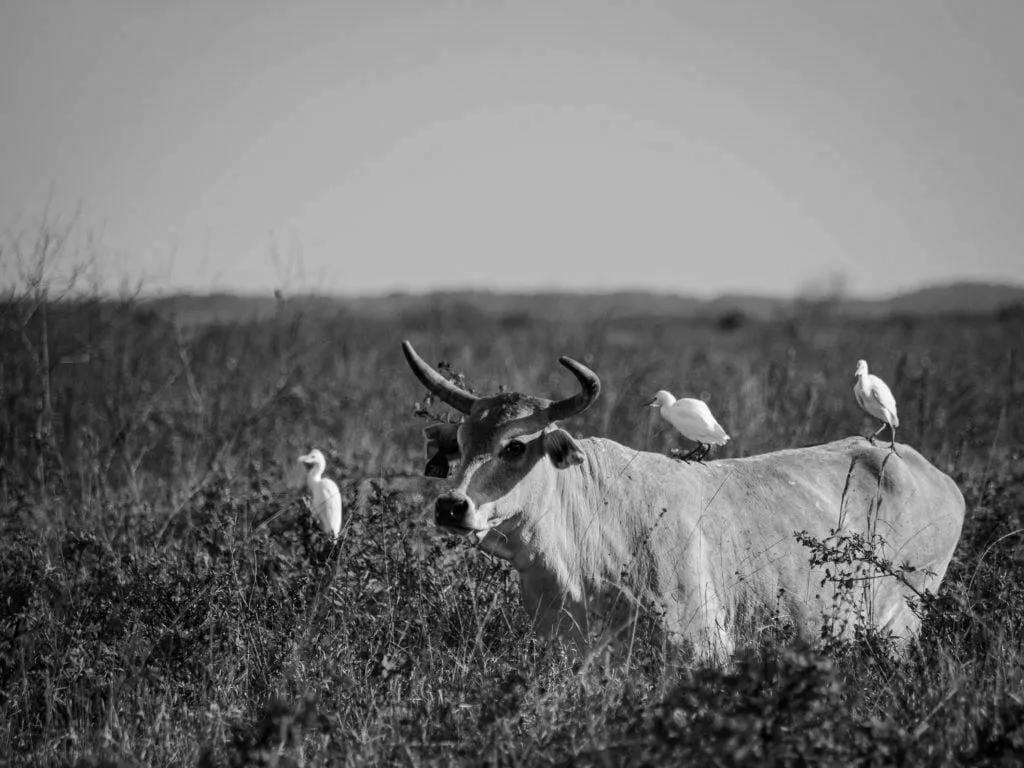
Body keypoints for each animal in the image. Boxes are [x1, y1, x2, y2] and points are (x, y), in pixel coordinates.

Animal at [403, 341, 966, 662]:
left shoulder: (704, 651)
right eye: (462, 442)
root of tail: (924, 469)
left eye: (516, 446)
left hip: (900, 628)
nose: (451, 506)